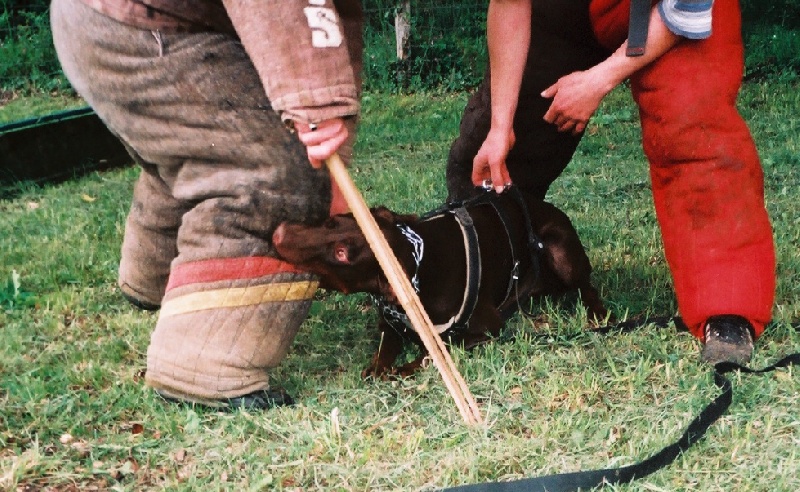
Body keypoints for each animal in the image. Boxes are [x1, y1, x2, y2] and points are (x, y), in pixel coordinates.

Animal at [272, 187, 604, 376]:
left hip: (560, 249)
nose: (279, 233)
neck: (418, 266)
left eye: (341, 254)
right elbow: (382, 356)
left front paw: (404, 368)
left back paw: (598, 314)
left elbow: (436, 350)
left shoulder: (487, 328)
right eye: (329, 223)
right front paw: (379, 368)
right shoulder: (389, 322)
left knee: (587, 285)